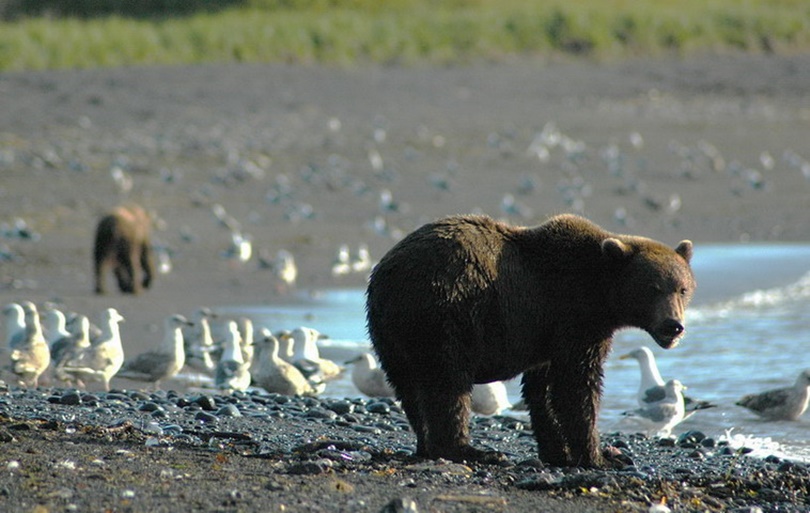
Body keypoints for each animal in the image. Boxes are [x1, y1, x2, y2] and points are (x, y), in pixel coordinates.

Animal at [362, 213, 692, 468]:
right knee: (448, 384)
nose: (673, 325)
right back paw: (474, 451)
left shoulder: (545, 335)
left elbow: (541, 391)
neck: (601, 294)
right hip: (445, 315)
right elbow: (576, 386)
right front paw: (599, 455)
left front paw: (558, 452)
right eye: (652, 288)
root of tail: (386, 276)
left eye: (682, 288)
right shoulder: (574, 320)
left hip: (391, 336)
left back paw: (425, 444)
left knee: (408, 387)